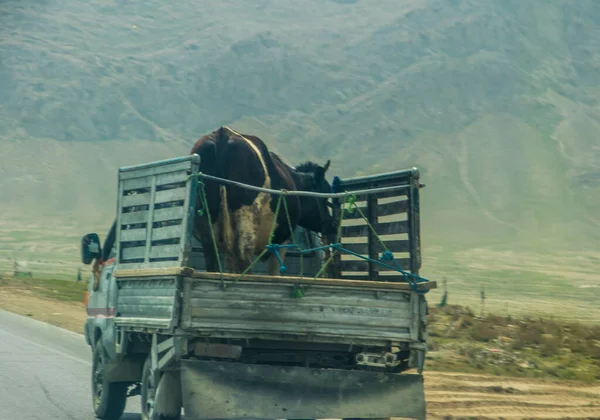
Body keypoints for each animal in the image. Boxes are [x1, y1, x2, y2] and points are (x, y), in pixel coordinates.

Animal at [190, 124, 336, 276]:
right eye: (325, 194)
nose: (332, 224)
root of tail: (223, 133)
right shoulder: (281, 241)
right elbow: (275, 272)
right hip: (246, 223)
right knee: (244, 260)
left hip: (206, 225)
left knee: (213, 260)